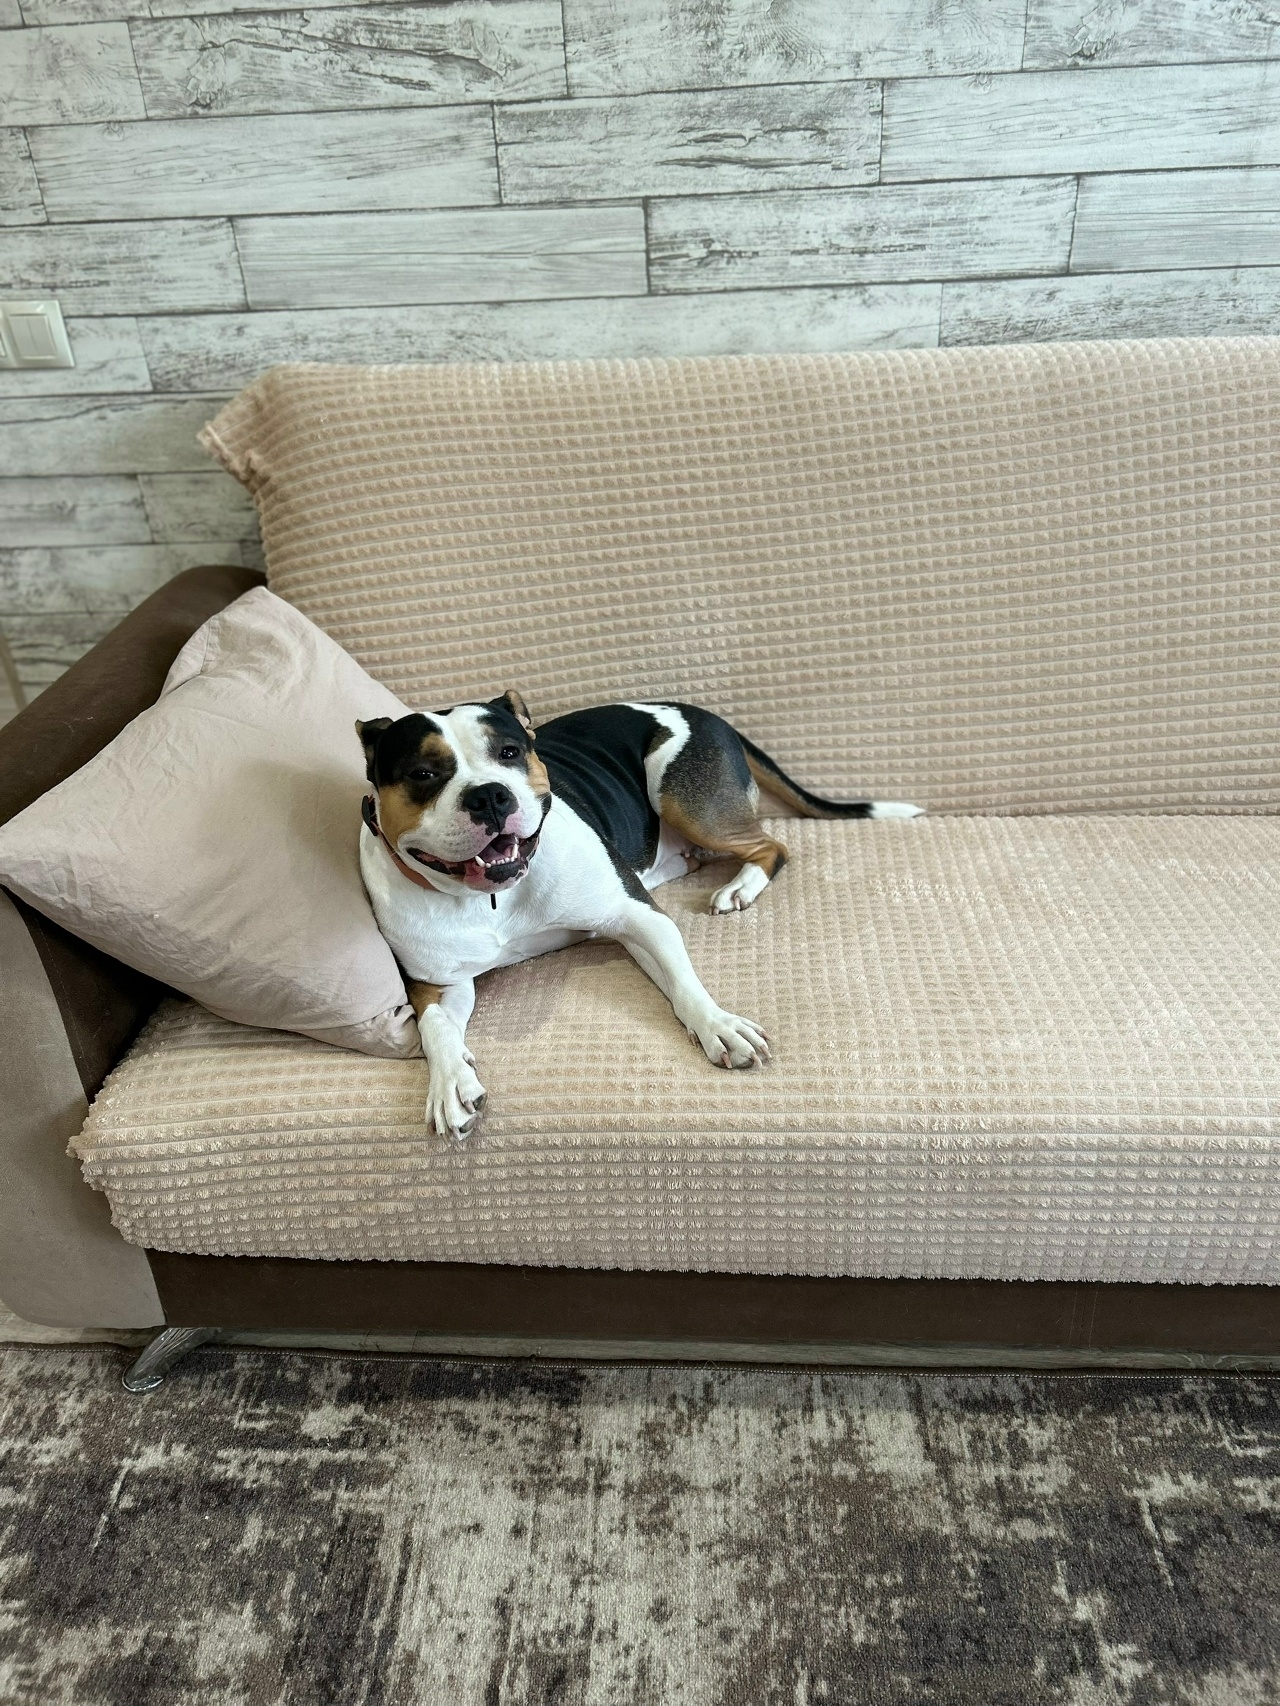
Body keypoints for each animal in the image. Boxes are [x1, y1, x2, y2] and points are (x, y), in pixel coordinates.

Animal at [358, 694, 921, 1140]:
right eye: (423, 774)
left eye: (509, 753)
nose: (490, 794)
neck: (492, 897)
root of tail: (698, 710)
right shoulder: (439, 983)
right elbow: (435, 1029)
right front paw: (450, 1082)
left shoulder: (638, 918)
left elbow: (684, 982)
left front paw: (719, 1025)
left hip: (682, 797)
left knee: (772, 847)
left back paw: (740, 886)